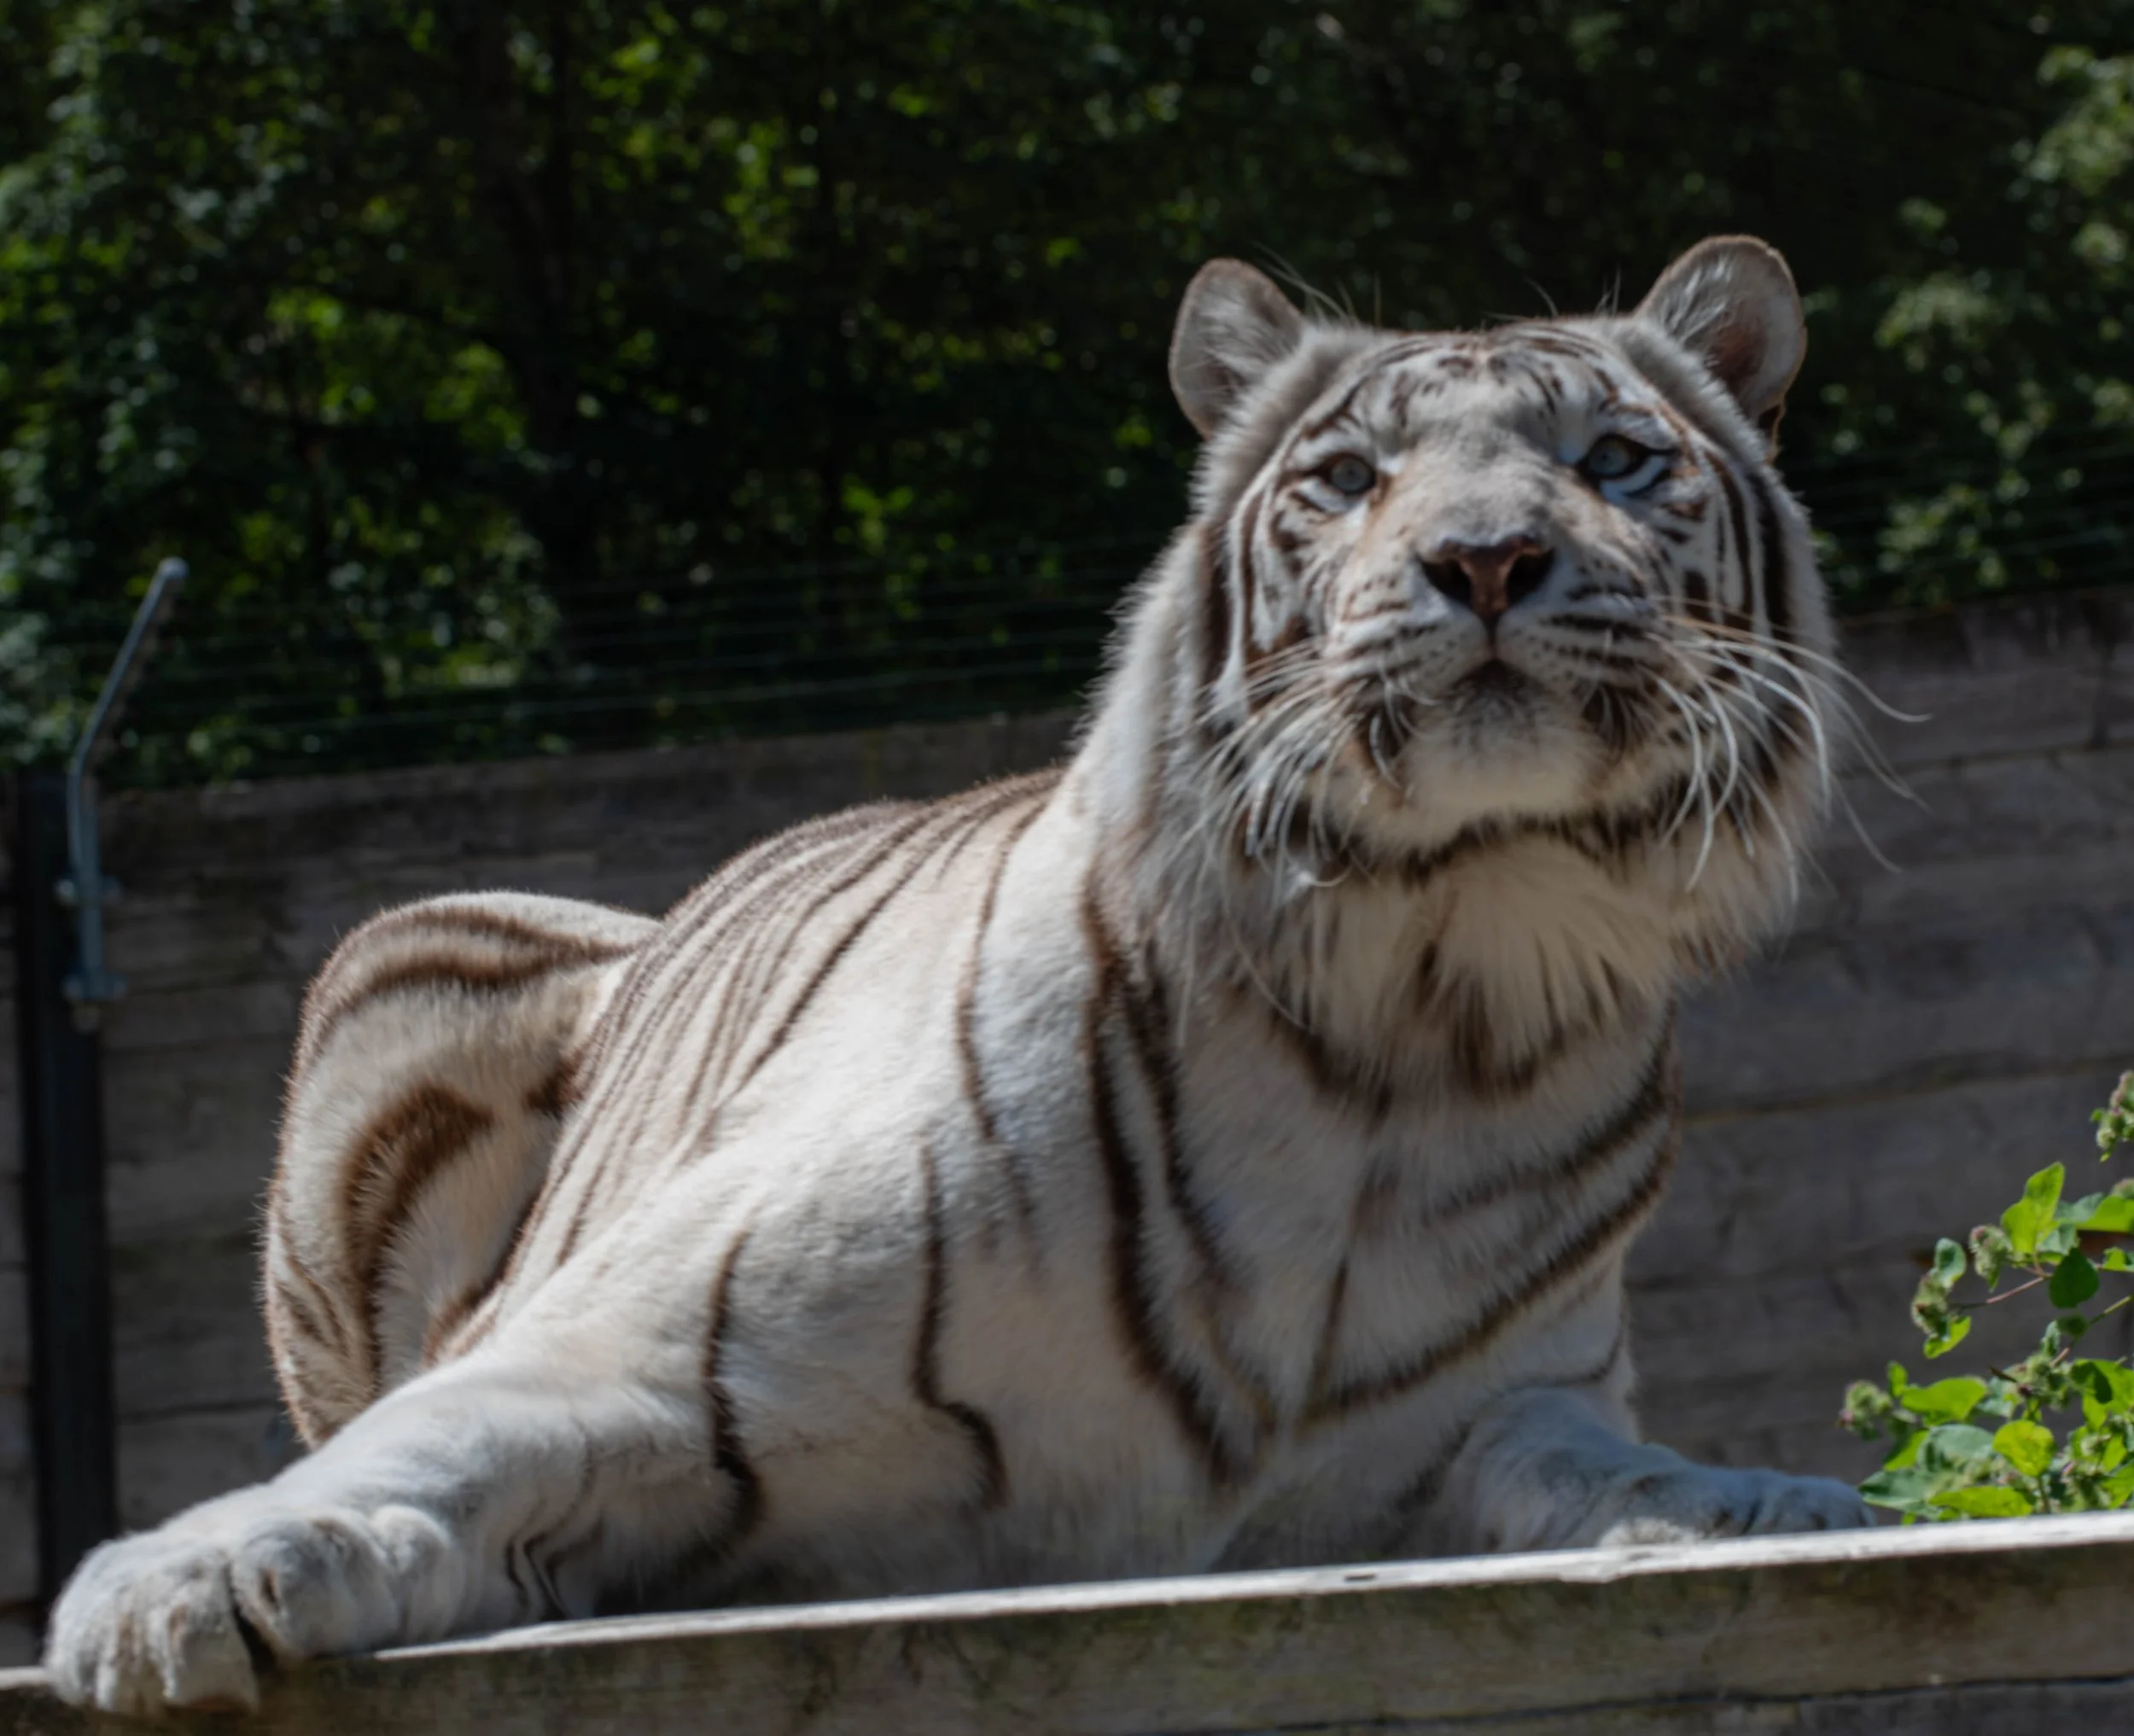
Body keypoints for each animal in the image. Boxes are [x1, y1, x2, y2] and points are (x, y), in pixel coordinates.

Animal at [48, 234, 1871, 1718]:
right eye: (1350, 476)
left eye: (1617, 458)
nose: (1486, 559)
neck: (1433, 989)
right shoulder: (629, 1341)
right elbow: (427, 1442)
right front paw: (180, 1586)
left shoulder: (1500, 1410)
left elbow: (1609, 1466)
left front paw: (1779, 1498)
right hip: (405, 957)